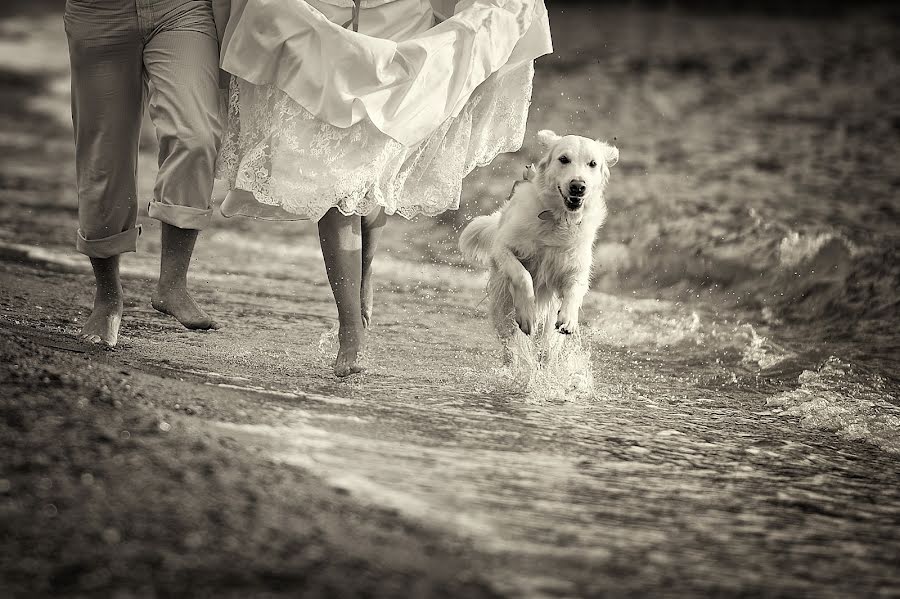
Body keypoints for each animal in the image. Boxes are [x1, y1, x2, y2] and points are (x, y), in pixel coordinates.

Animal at [460, 129, 616, 350]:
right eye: (563, 159)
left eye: (592, 163)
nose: (578, 186)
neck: (558, 219)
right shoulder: (502, 247)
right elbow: (522, 275)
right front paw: (527, 314)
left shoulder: (575, 266)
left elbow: (575, 289)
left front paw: (569, 318)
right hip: (502, 303)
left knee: (547, 344)